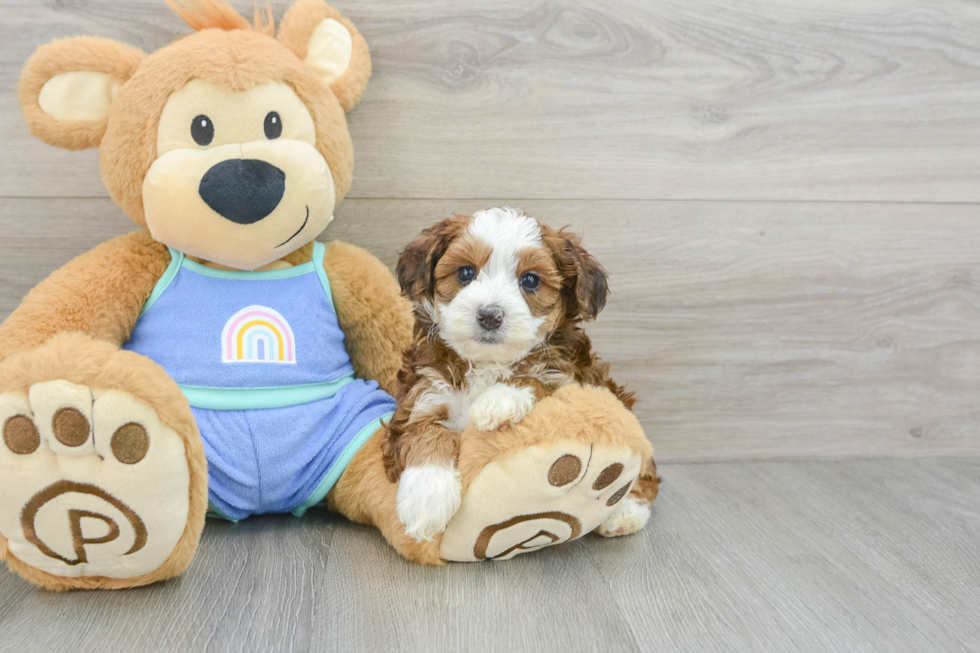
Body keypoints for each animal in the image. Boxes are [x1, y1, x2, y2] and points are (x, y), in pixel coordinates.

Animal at [384, 208, 660, 540]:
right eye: (465, 273)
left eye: (530, 280)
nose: (490, 315)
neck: (487, 363)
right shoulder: (424, 393)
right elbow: (423, 432)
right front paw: (427, 497)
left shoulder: (574, 379)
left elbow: (540, 378)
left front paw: (499, 399)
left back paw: (627, 511)